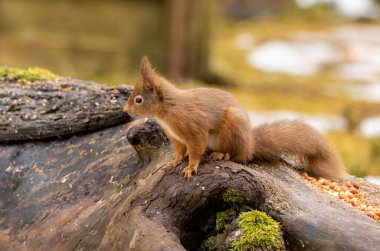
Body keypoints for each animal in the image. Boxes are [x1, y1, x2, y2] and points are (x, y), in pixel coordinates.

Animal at [123, 56, 346, 179]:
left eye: (139, 100)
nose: (125, 110)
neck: (167, 110)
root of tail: (250, 143)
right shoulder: (177, 137)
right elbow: (179, 151)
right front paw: (173, 162)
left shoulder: (194, 129)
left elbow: (195, 150)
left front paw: (191, 167)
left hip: (232, 130)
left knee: (239, 156)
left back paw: (223, 155)